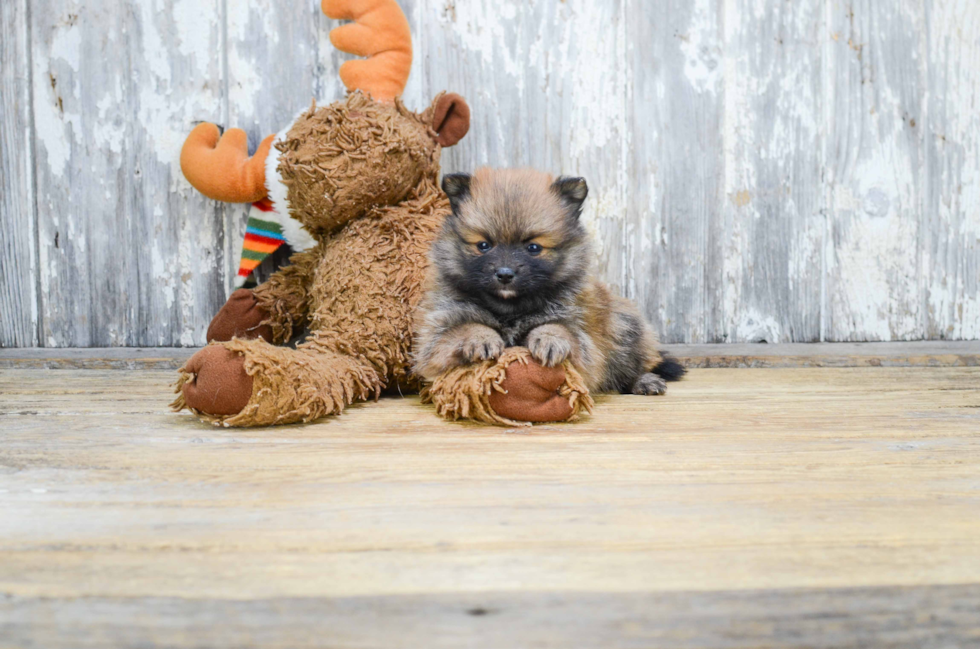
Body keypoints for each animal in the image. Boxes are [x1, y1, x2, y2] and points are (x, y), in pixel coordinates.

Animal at [412, 167, 680, 392]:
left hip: (624, 327)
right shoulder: (436, 335)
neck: (510, 308)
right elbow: (463, 327)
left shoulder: (579, 332)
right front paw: (480, 338)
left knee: (632, 366)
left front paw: (550, 340)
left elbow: (557, 327)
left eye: (533, 247)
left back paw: (644, 381)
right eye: (484, 245)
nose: (505, 274)